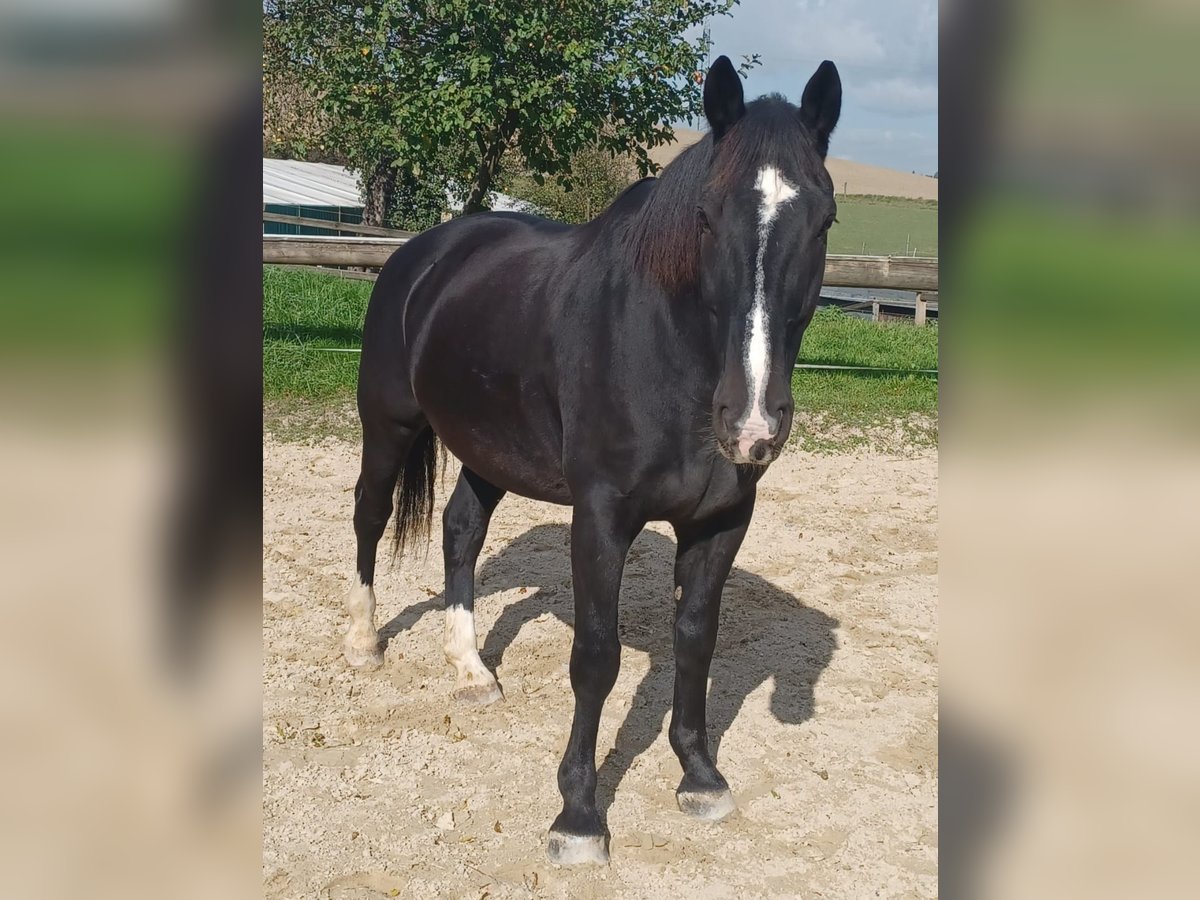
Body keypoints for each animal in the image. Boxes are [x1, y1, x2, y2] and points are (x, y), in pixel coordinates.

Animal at [343, 56, 840, 868]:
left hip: (489, 450)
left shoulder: (723, 521)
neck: (667, 352)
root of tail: (425, 253)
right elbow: (597, 657)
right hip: (387, 426)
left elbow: (695, 641)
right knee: (369, 515)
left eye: (824, 220)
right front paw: (578, 815)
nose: (751, 423)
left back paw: (471, 671)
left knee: (460, 530)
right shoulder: (602, 516)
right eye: (706, 217)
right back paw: (363, 642)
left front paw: (699, 775)